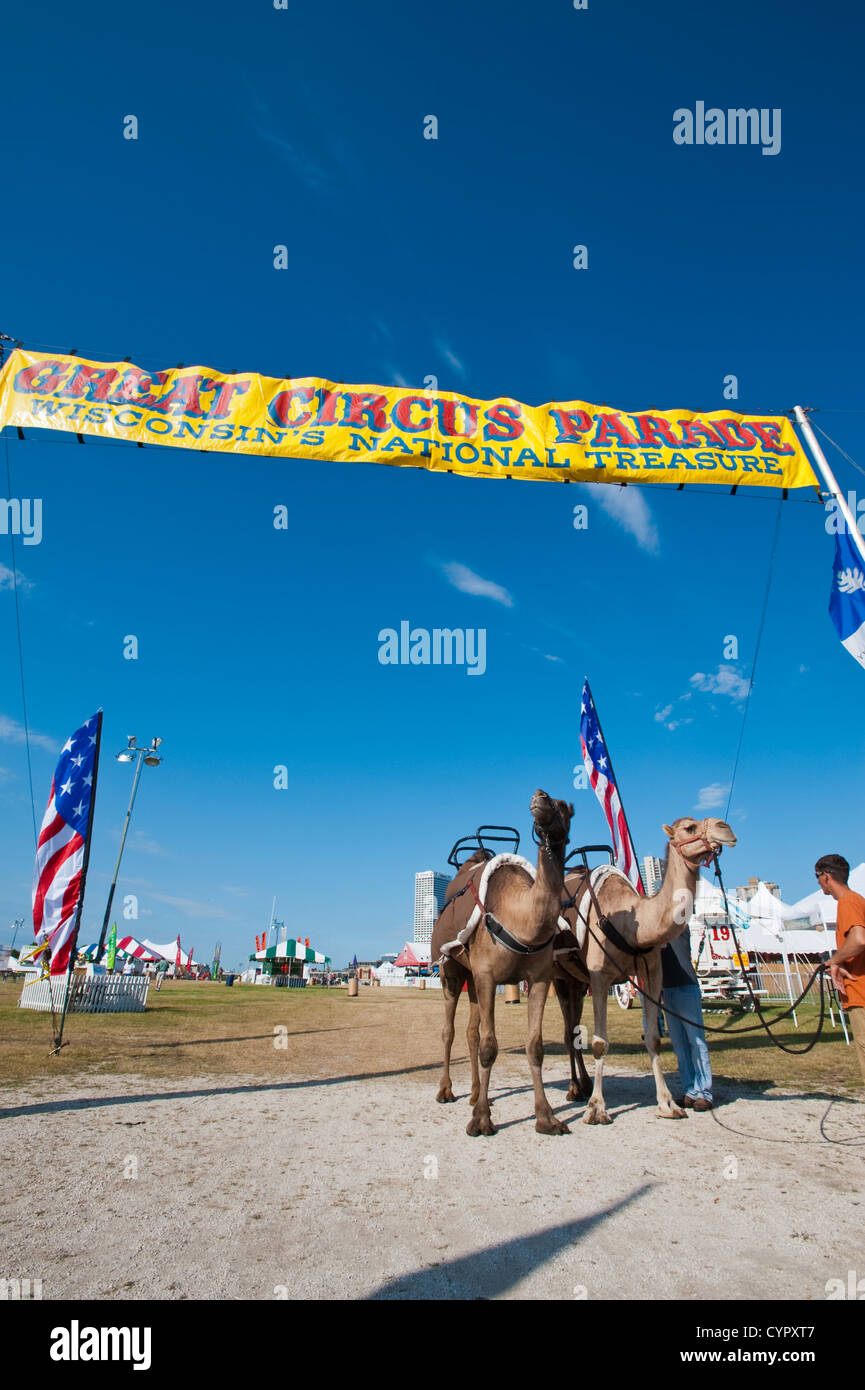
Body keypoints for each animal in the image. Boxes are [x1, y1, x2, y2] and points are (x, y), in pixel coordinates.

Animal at [431, 789, 572, 1134]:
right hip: (452, 971)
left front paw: (547, 1118)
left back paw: (474, 1095)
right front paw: (481, 1121)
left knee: (471, 1030)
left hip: (471, 977)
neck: (520, 919)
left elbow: (535, 1047)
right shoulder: (487, 975)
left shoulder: (539, 978)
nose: (540, 795)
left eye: (565, 807)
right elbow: (489, 1046)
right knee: (449, 1029)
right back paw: (446, 1091)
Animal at [556, 817, 739, 1123]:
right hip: (559, 977)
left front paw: (668, 1104)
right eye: (689, 828)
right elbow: (600, 1042)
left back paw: (582, 1085)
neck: (632, 925)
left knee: (573, 1031)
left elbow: (653, 1038)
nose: (726, 828)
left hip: (576, 981)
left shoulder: (651, 974)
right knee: (569, 1034)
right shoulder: (600, 975)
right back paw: (574, 1089)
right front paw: (597, 1109)